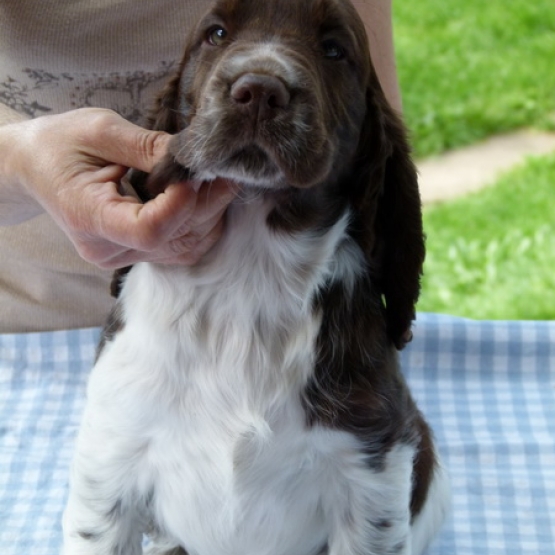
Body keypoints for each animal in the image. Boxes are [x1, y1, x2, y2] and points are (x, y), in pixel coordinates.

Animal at [63, 1, 450, 555]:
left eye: (334, 49)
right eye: (216, 34)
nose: (260, 91)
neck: (248, 271)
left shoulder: (373, 466)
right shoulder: (111, 450)